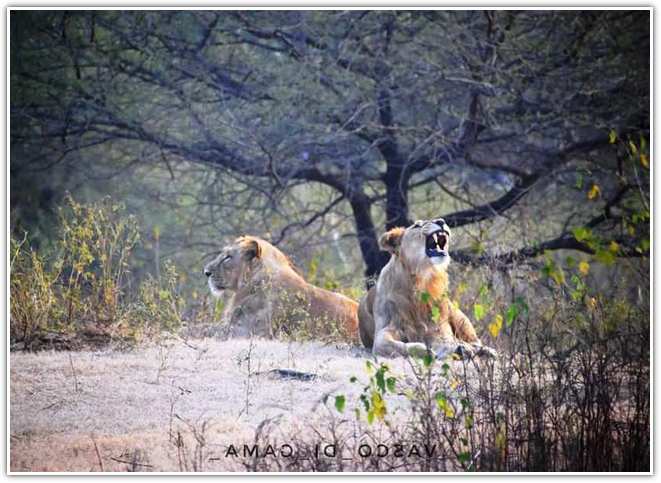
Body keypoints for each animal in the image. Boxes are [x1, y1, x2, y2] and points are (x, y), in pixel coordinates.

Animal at [358, 218, 496, 359]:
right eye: (417, 225)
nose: (441, 221)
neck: (422, 280)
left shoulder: (437, 327)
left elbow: (445, 340)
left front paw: (458, 348)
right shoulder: (387, 328)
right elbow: (390, 344)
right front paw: (427, 350)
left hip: (459, 316)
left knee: (475, 340)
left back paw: (485, 350)